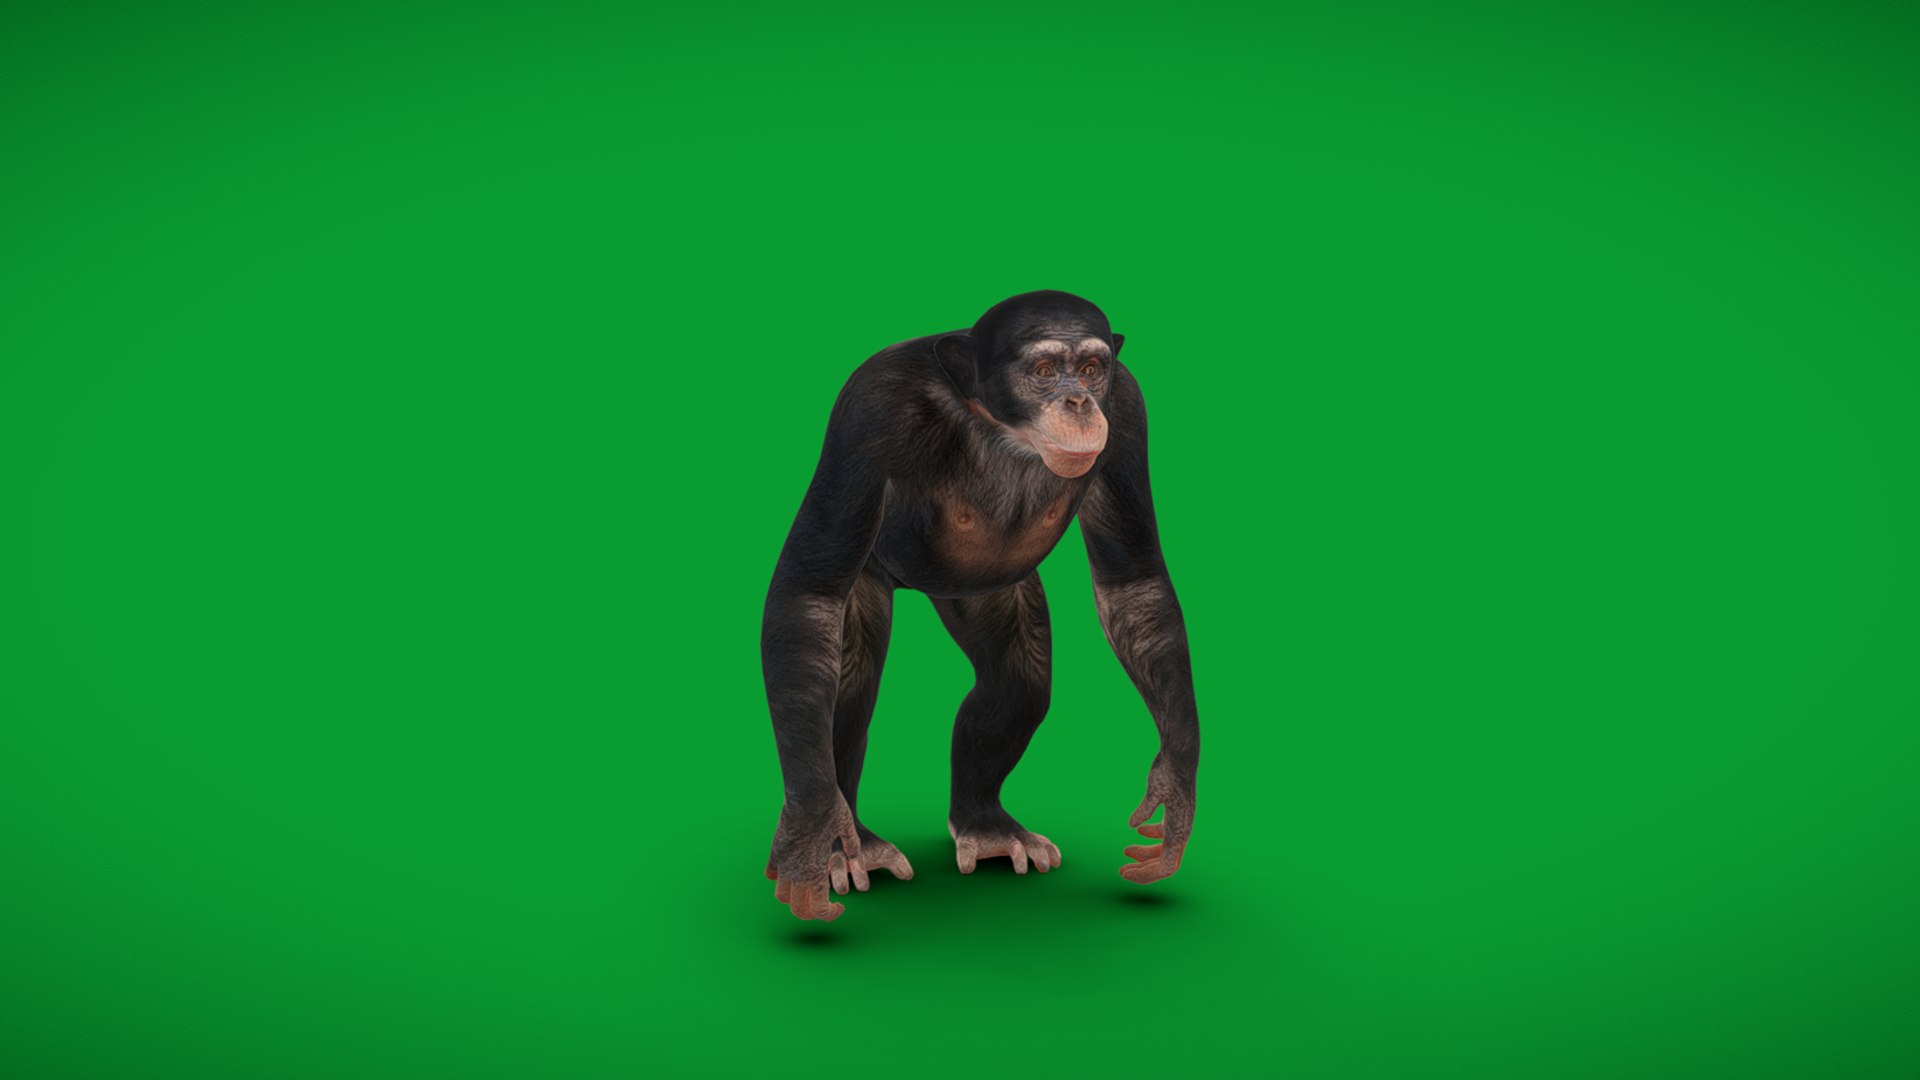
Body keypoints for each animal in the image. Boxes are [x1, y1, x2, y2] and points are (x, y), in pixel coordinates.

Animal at [761, 290, 1200, 922]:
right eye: (1044, 371)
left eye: (1093, 368)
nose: (1079, 401)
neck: (996, 421)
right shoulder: (871, 410)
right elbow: (810, 592)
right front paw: (809, 838)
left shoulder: (1129, 412)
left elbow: (1134, 585)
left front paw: (1175, 785)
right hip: (872, 577)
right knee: (843, 677)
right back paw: (851, 846)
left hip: (984, 593)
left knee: (1014, 683)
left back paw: (987, 828)